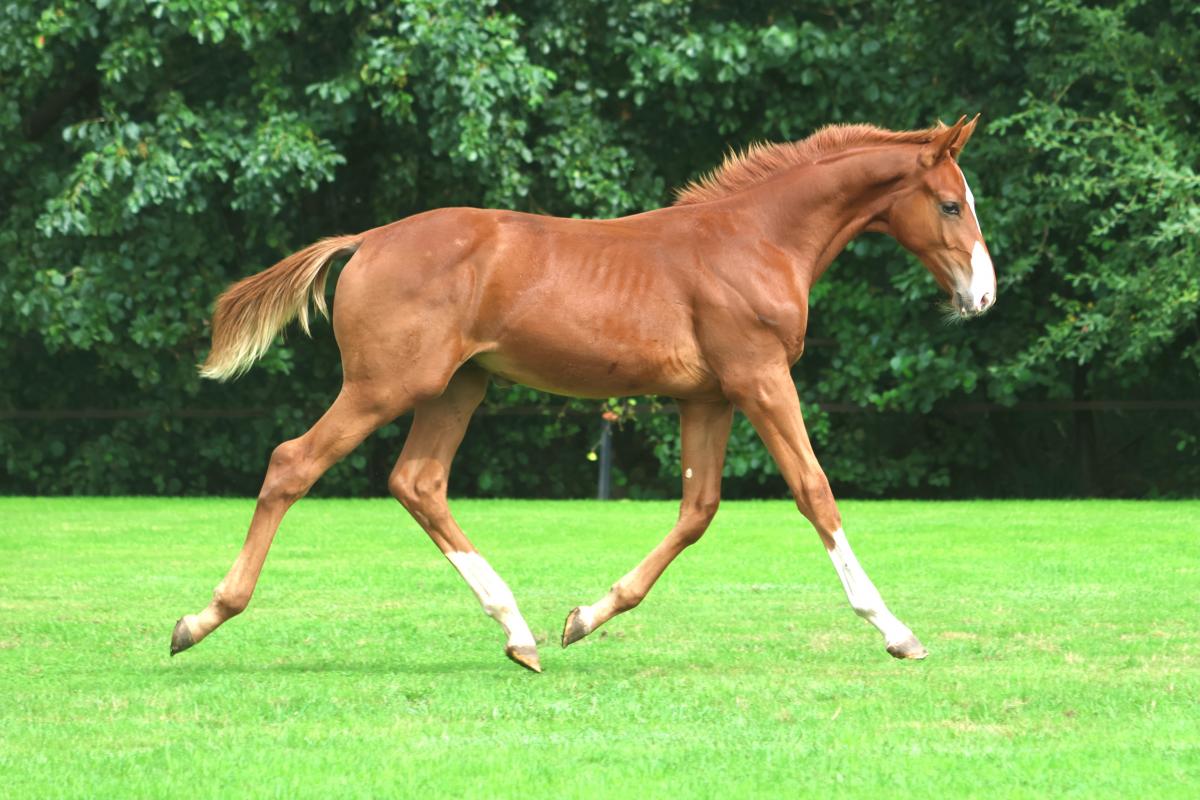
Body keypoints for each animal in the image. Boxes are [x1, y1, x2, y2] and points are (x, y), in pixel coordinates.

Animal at [171, 115, 994, 673]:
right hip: (386, 385)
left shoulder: (709, 398)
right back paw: (202, 618)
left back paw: (518, 632)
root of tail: (367, 239)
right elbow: (814, 490)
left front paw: (584, 617)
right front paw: (895, 630)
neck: (756, 238)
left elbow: (697, 511)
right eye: (951, 204)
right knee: (293, 463)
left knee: (418, 482)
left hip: (458, 387)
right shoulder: (760, 377)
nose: (982, 296)